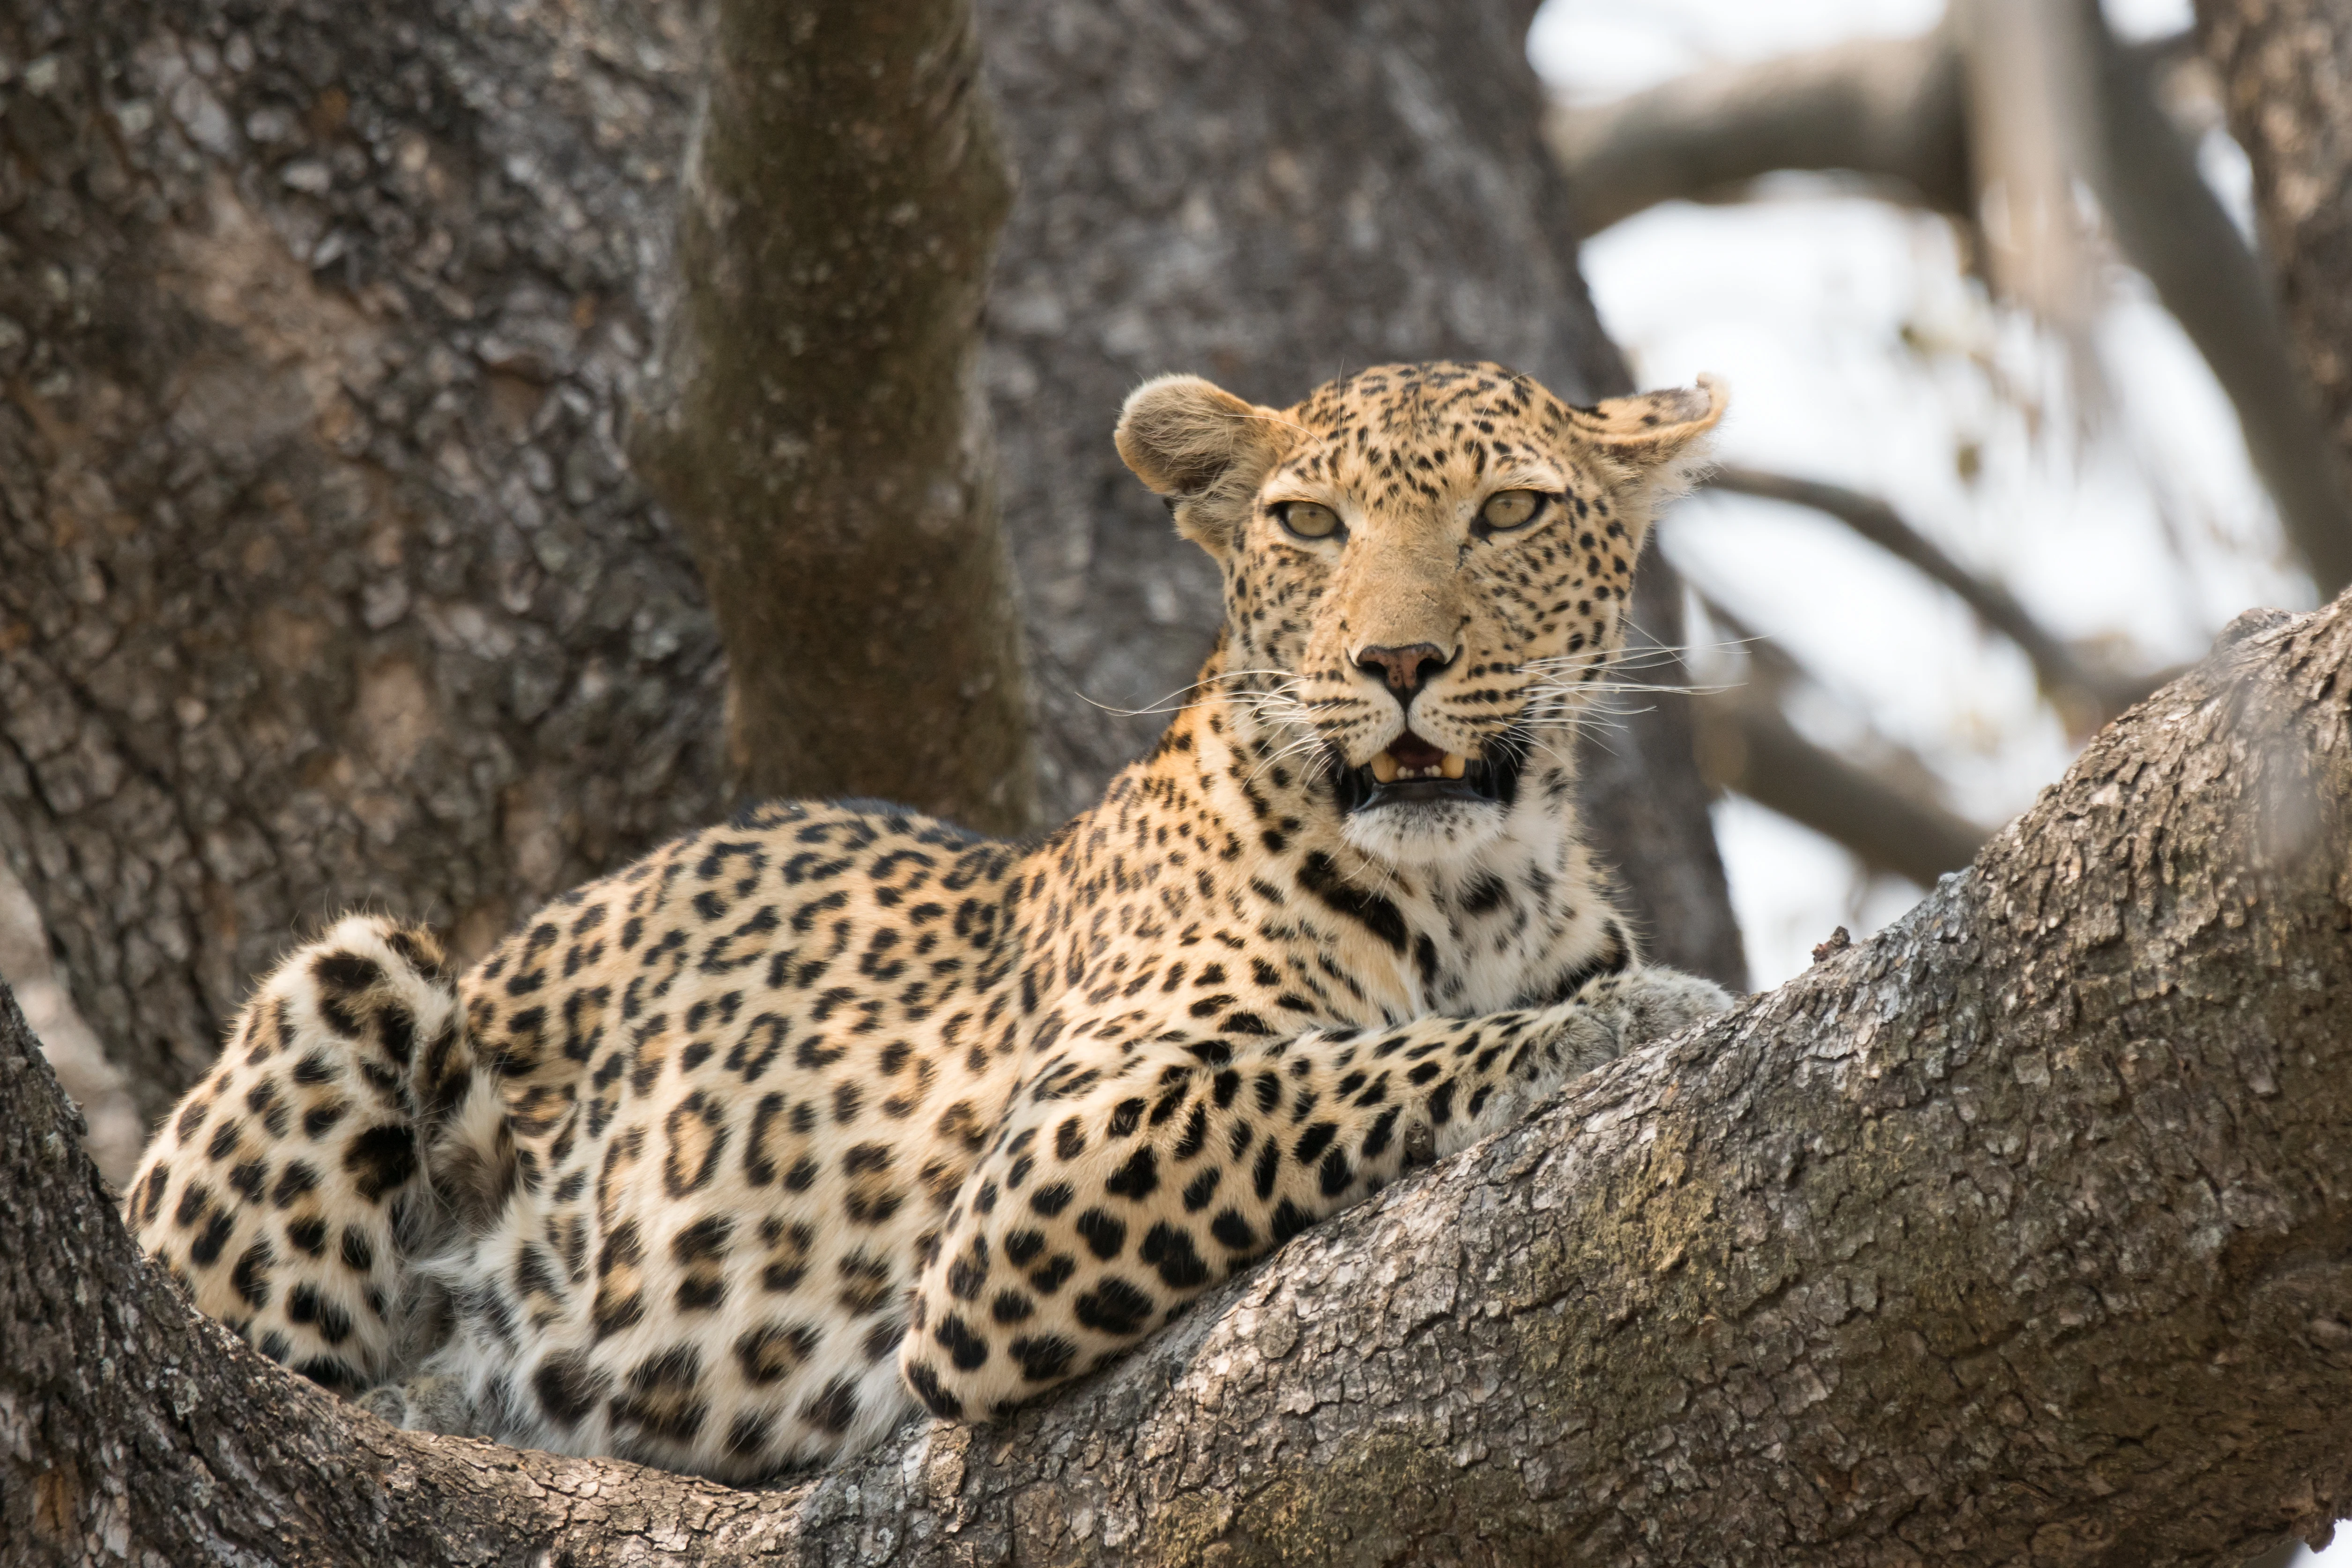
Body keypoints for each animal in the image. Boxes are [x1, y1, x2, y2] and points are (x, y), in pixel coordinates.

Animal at [120, 359, 1736, 1482]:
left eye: (1507, 512)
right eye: (1306, 524)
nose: (1394, 661)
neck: (1476, 881)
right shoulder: (1050, 1166)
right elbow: (1340, 1071)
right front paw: (1624, 1015)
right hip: (351, 975)